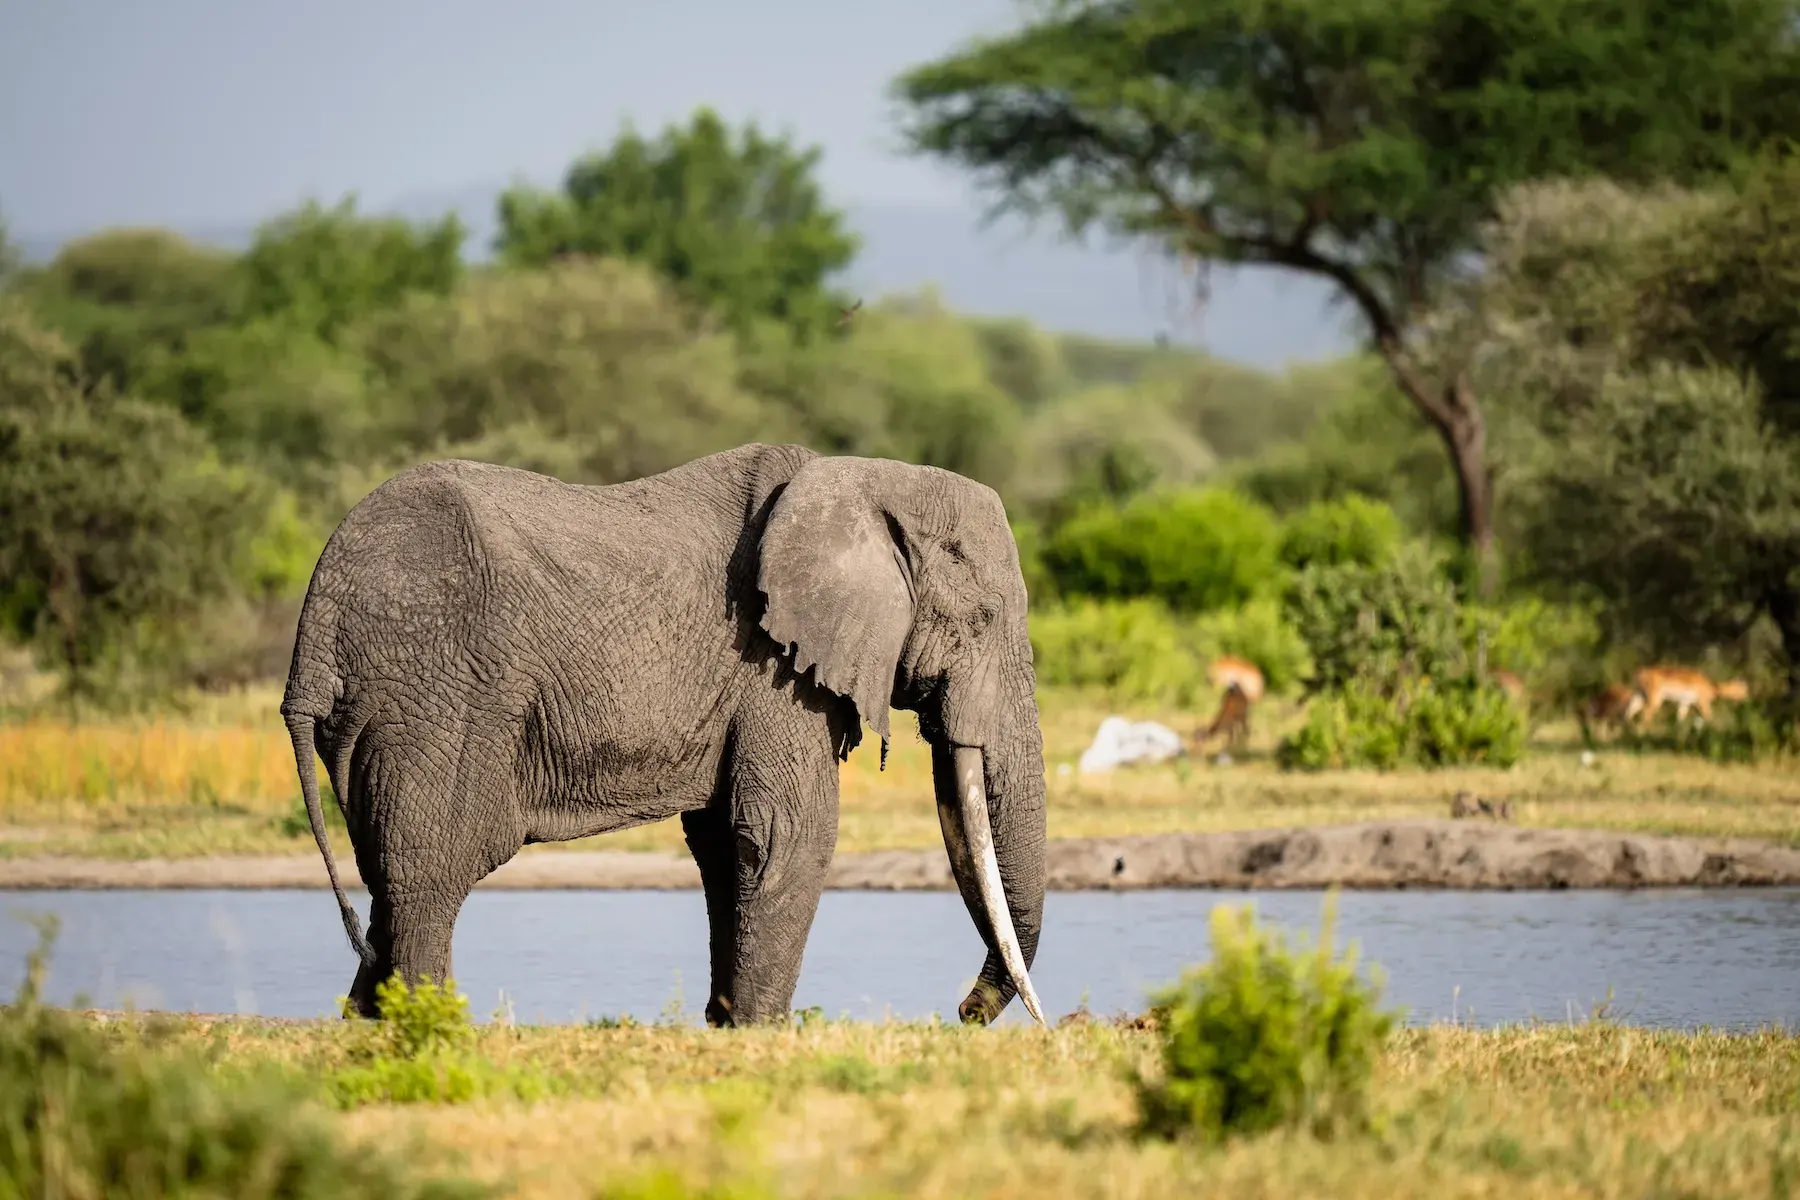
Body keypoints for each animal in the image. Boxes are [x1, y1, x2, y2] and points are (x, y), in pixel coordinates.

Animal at [280, 441, 1048, 1027]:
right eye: (982, 619)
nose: (962, 1014)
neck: (863, 479)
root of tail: (316, 617)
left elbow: (725, 845)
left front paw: (727, 1026)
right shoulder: (772, 668)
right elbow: (788, 833)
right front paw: (761, 1032)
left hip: (380, 709)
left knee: (384, 873)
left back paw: (364, 1021)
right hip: (435, 693)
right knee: (432, 867)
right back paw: (433, 1027)